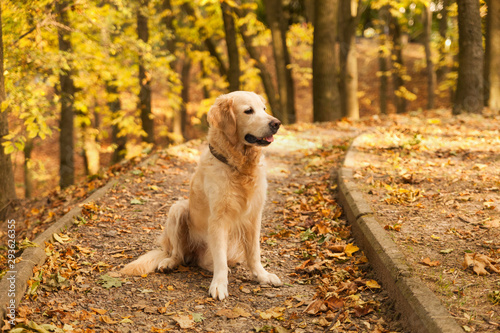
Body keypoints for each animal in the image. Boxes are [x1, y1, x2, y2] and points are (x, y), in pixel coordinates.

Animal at [121, 90, 284, 298]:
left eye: (264, 109)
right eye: (248, 111)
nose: (276, 123)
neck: (238, 166)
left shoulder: (254, 216)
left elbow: (254, 253)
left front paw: (262, 275)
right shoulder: (218, 219)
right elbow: (220, 258)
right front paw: (219, 285)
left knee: (204, 261)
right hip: (178, 209)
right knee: (178, 254)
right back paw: (169, 263)